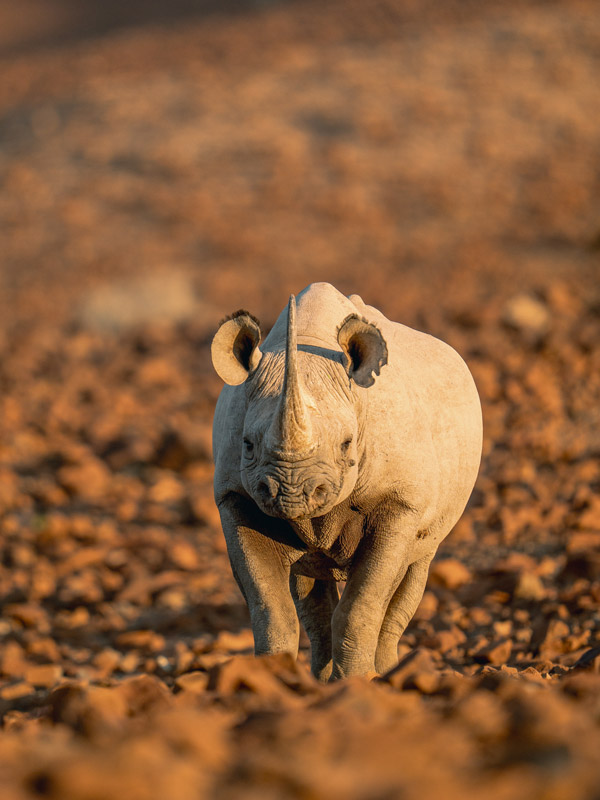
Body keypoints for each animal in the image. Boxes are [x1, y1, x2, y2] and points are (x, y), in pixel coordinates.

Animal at [211, 282, 482, 680]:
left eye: (347, 444)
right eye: (247, 445)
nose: (292, 494)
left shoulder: (399, 501)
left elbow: (362, 604)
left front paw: (358, 682)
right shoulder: (236, 497)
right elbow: (270, 608)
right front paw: (275, 680)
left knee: (413, 570)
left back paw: (388, 674)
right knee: (310, 585)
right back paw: (322, 679)